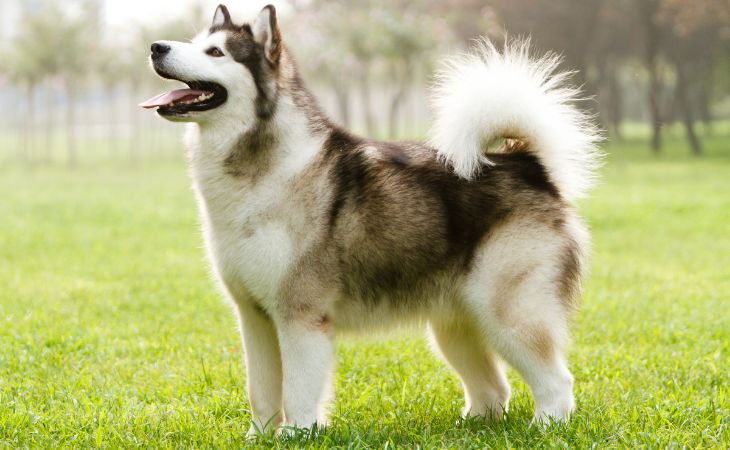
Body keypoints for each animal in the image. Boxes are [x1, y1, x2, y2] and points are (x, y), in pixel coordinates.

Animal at [141, 2, 596, 432]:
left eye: (215, 52)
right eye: (193, 42)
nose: (156, 47)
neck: (259, 168)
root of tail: (527, 164)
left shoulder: (300, 315)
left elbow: (298, 390)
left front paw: (297, 433)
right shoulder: (254, 318)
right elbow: (262, 391)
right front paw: (260, 436)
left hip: (509, 314)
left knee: (557, 381)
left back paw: (546, 426)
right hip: (454, 325)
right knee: (494, 389)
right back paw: (475, 425)